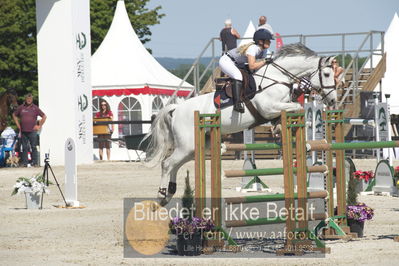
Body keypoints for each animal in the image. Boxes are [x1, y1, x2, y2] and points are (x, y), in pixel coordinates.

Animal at [144, 43, 338, 206]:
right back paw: (162, 195)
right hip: (187, 145)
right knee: (167, 163)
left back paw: (170, 192)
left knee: (175, 165)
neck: (277, 77)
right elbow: (297, 107)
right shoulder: (269, 108)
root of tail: (176, 109)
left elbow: (290, 112)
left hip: (194, 147)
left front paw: (286, 133)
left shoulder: (276, 109)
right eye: (327, 74)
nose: (333, 100)